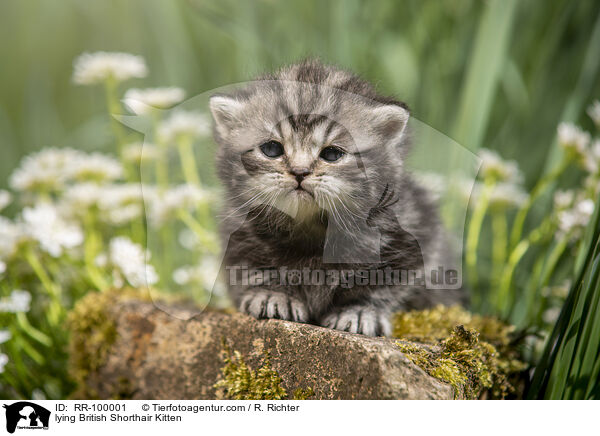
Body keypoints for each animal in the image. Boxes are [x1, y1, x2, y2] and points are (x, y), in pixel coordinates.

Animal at [209, 59, 466, 336]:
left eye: (332, 154)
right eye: (271, 149)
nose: (300, 172)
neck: (311, 228)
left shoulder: (412, 230)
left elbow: (384, 282)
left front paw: (360, 311)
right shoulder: (238, 232)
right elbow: (252, 267)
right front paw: (272, 295)